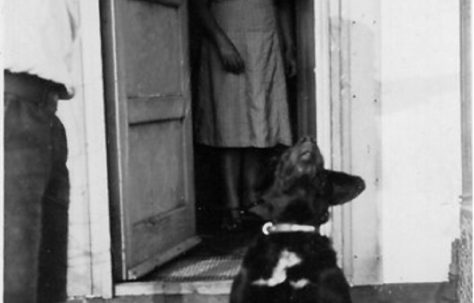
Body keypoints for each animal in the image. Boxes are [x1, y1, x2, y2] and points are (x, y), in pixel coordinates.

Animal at [230, 137, 366, 303]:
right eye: (285, 154)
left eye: (322, 165)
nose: (308, 138)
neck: (292, 228)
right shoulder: (249, 286)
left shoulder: (328, 287)